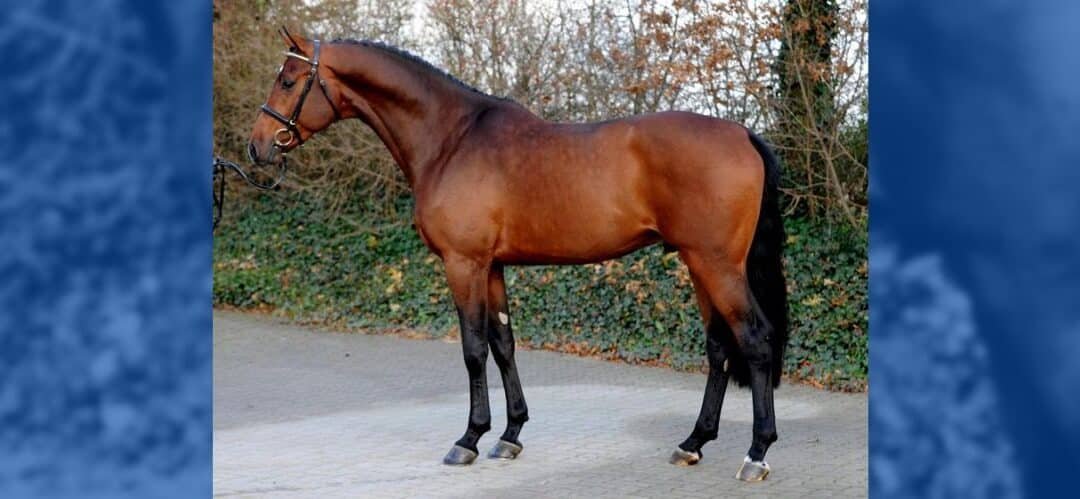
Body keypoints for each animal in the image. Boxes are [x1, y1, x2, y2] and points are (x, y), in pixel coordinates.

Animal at [246, 28, 789, 482]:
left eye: (289, 80)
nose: (256, 148)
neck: (451, 139)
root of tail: (743, 134)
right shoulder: (491, 267)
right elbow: (503, 344)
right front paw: (509, 435)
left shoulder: (463, 264)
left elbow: (472, 349)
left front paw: (467, 439)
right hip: (698, 263)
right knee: (718, 346)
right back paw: (693, 442)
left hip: (716, 264)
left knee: (755, 339)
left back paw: (756, 454)